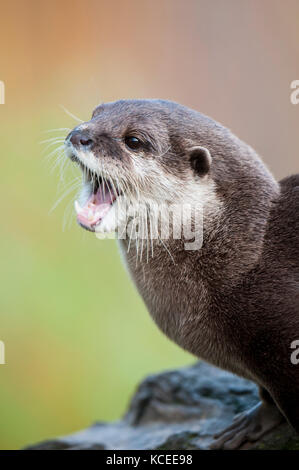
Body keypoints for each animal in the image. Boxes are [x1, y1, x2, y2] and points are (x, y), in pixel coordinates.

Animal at [64, 99, 298, 448]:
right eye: (96, 113)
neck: (241, 261)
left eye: (134, 141)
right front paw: (252, 421)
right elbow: (268, 397)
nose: (79, 135)